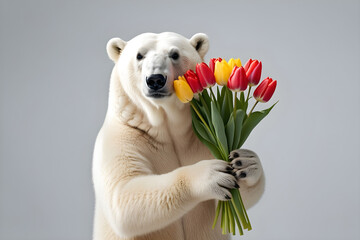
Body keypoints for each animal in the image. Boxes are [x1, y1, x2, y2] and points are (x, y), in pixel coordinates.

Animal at [91, 32, 262, 240]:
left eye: (174, 54)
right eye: (139, 55)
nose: (155, 79)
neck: (166, 128)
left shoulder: (199, 139)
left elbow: (237, 198)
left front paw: (246, 163)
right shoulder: (122, 137)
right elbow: (123, 196)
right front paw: (211, 175)